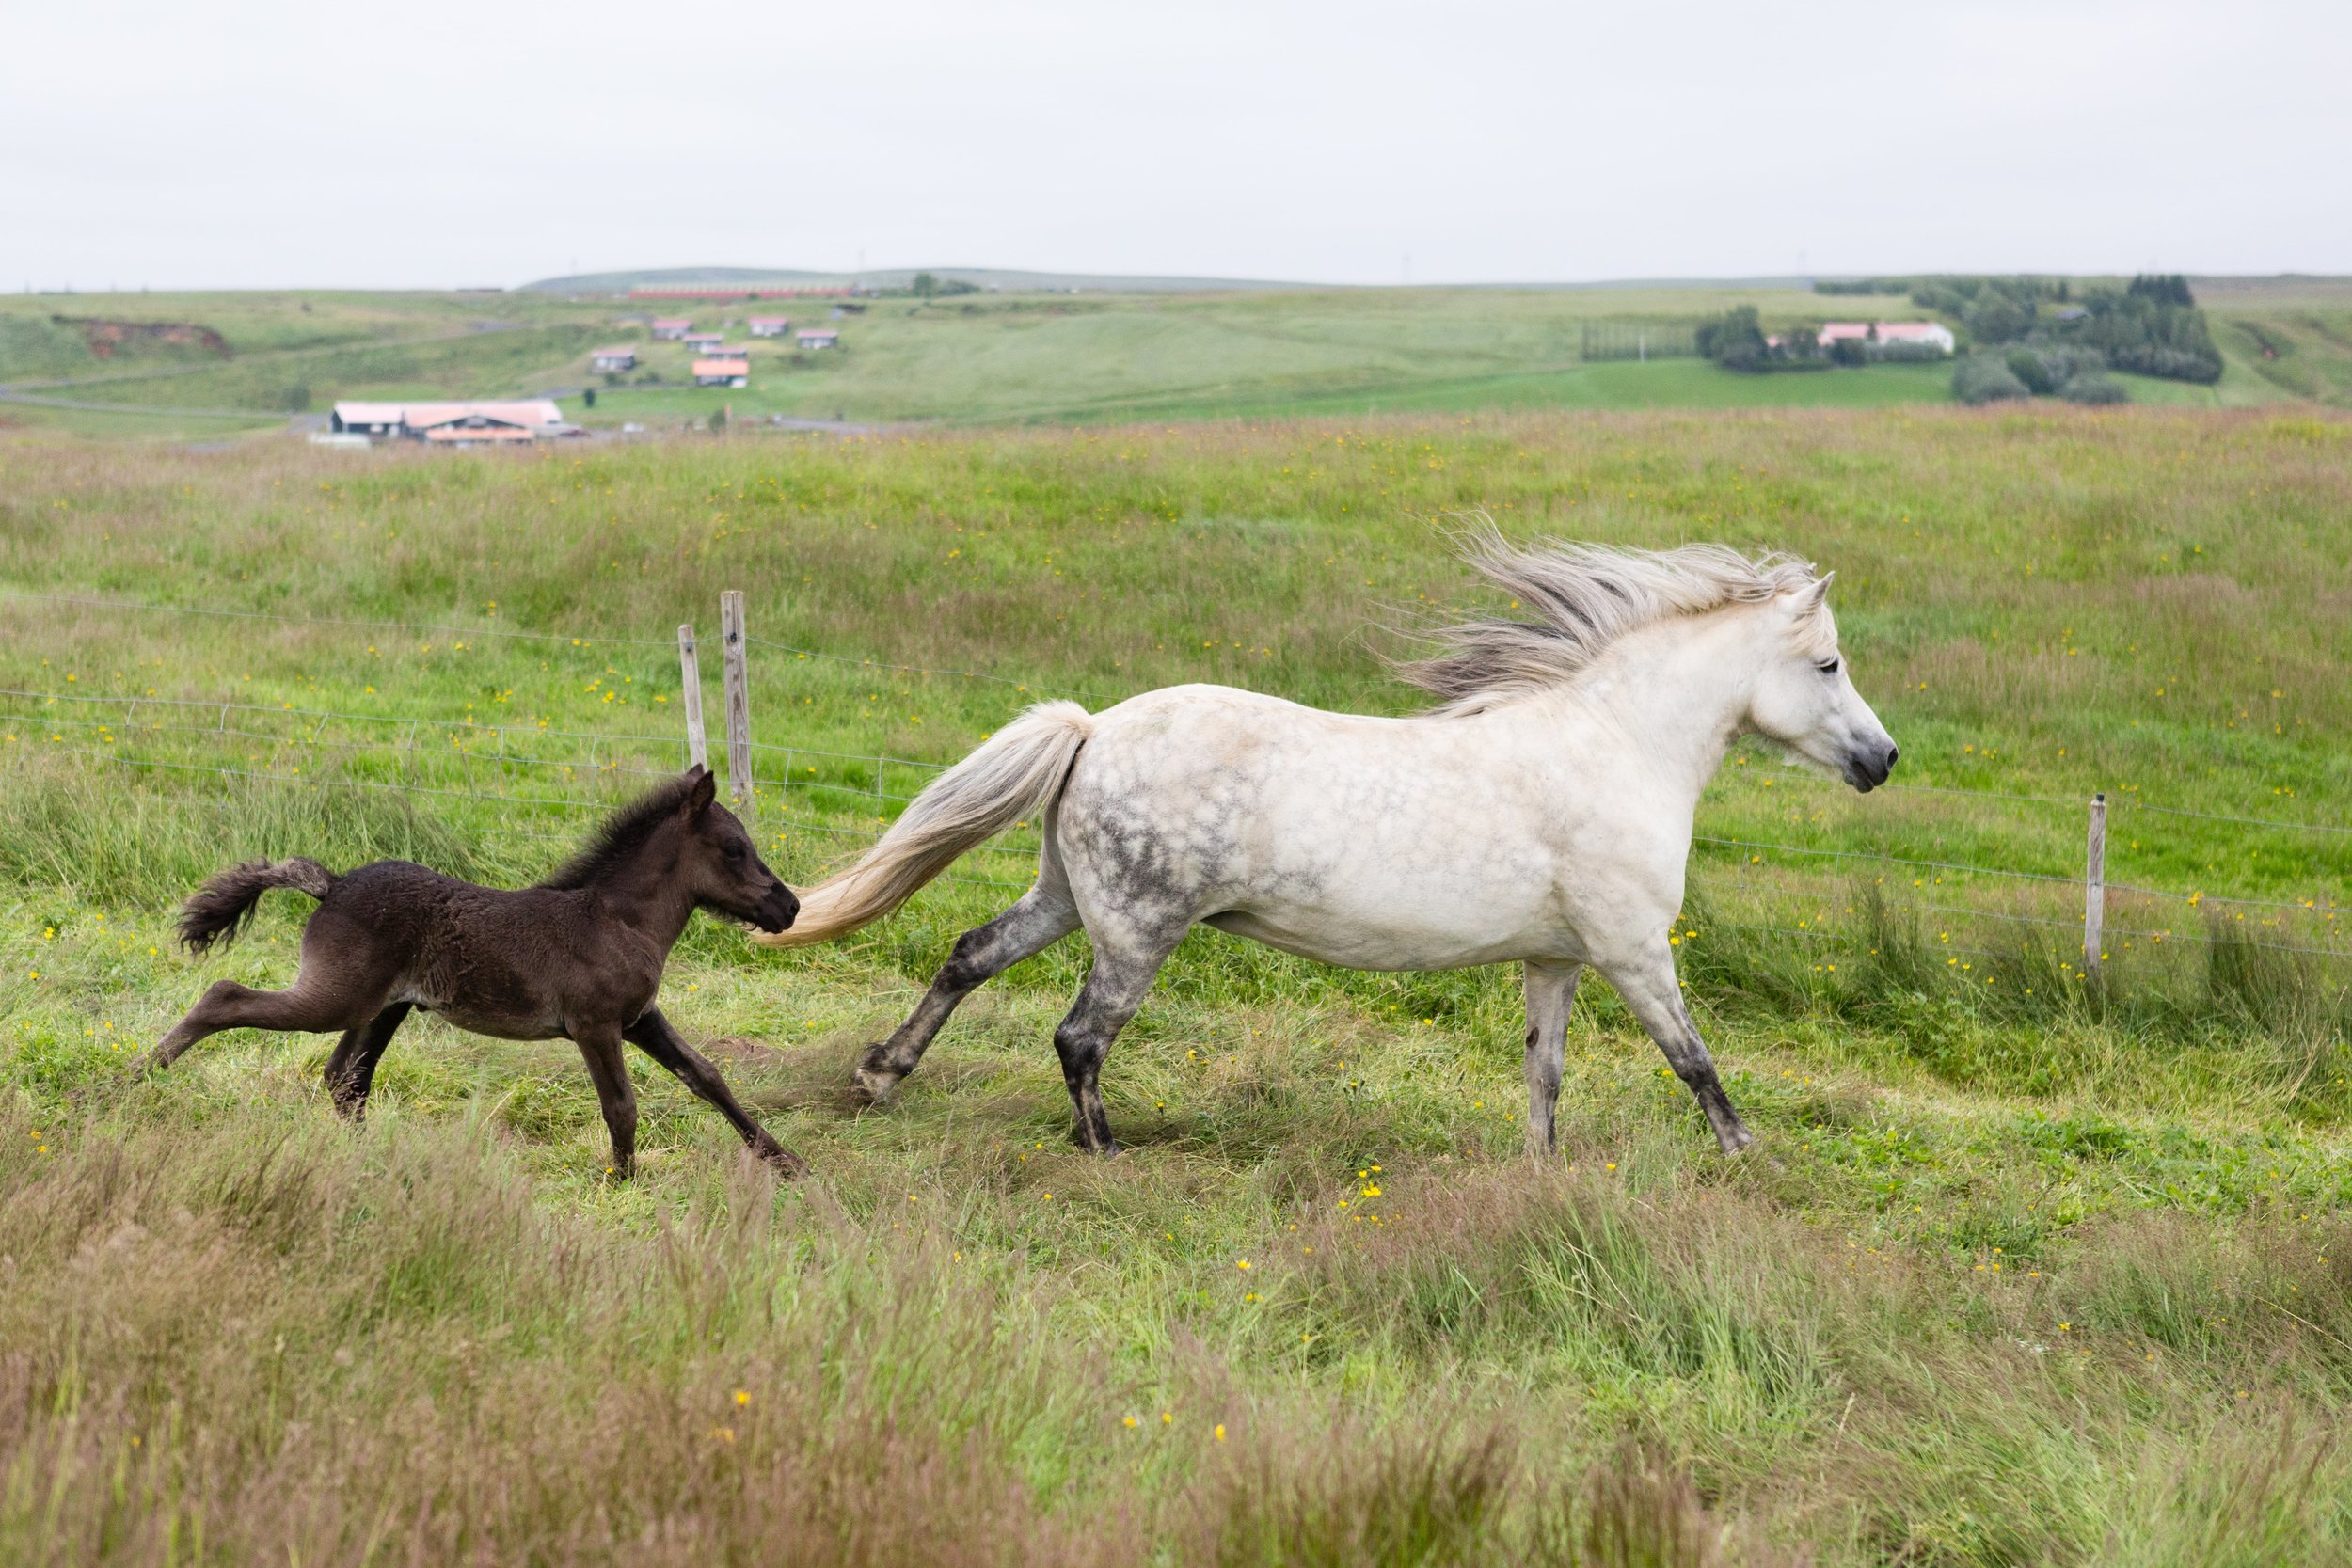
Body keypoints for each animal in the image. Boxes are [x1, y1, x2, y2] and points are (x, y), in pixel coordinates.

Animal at [149, 761, 809, 1175]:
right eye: (735, 850)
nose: (789, 907)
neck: (618, 920)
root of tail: (331, 885)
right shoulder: (595, 1025)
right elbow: (621, 1106)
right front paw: (623, 1184)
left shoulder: (640, 1017)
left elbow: (708, 1076)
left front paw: (789, 1164)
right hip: (339, 997)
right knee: (225, 995)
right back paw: (138, 1077)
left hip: (383, 1006)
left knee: (345, 1078)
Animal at [762, 533, 1900, 1161]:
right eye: (1829, 663)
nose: (1883, 759)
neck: (1614, 746)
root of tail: (1093, 728)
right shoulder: (1633, 950)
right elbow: (1694, 1061)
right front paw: (1754, 1160)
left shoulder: (1557, 958)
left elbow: (1545, 1074)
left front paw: (1542, 1173)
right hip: (1137, 931)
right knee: (1078, 1037)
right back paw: (1105, 1150)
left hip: (1070, 899)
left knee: (966, 955)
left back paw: (878, 1076)